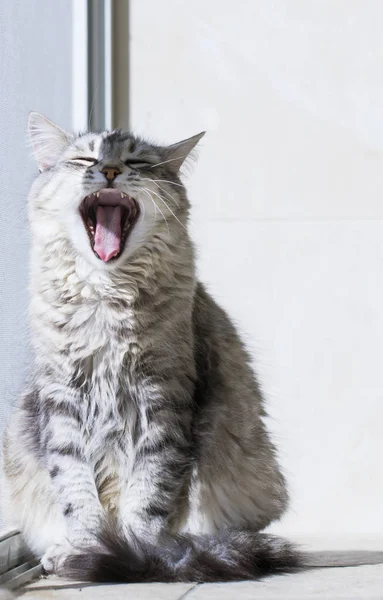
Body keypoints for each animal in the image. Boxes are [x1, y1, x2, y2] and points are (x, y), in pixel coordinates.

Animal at [0, 112, 300, 580]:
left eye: (137, 162)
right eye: (85, 159)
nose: (109, 170)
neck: (107, 297)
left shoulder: (162, 400)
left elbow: (148, 493)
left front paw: (135, 553)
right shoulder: (64, 399)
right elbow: (76, 491)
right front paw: (88, 547)